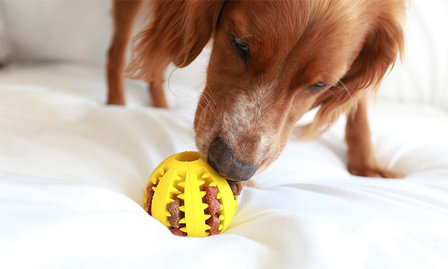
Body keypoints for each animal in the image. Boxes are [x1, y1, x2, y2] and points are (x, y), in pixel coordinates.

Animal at [107, 0, 406, 182]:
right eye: (239, 44)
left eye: (320, 85)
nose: (231, 167)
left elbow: (358, 103)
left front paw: (367, 164)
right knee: (118, 50)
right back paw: (115, 105)